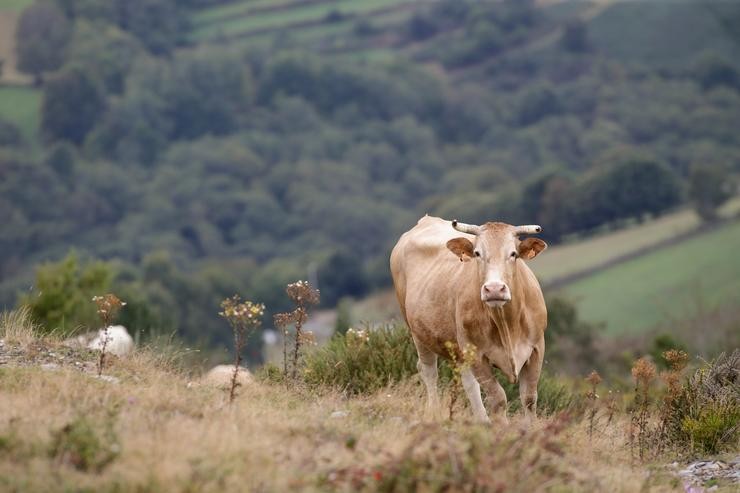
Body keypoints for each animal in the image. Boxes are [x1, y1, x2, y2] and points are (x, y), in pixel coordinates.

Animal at [390, 213, 548, 420]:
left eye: (513, 254)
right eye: (477, 253)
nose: (494, 289)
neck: (507, 325)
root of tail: (426, 220)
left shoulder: (537, 348)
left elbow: (529, 398)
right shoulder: (477, 355)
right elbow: (498, 399)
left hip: (458, 348)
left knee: (468, 382)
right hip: (418, 334)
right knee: (429, 371)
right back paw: (435, 413)